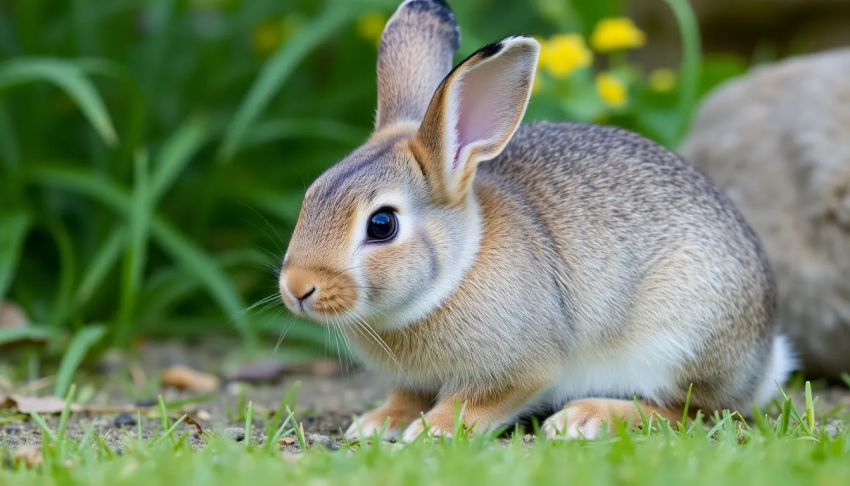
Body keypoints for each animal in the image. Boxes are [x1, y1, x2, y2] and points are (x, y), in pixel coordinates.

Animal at [278, 0, 796, 440]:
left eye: (382, 225)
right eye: (312, 194)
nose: (297, 288)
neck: (456, 269)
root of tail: (763, 360)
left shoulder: (522, 367)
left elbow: (479, 402)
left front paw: (434, 431)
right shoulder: (415, 379)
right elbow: (407, 395)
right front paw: (377, 423)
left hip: (681, 338)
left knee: (696, 410)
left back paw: (585, 418)